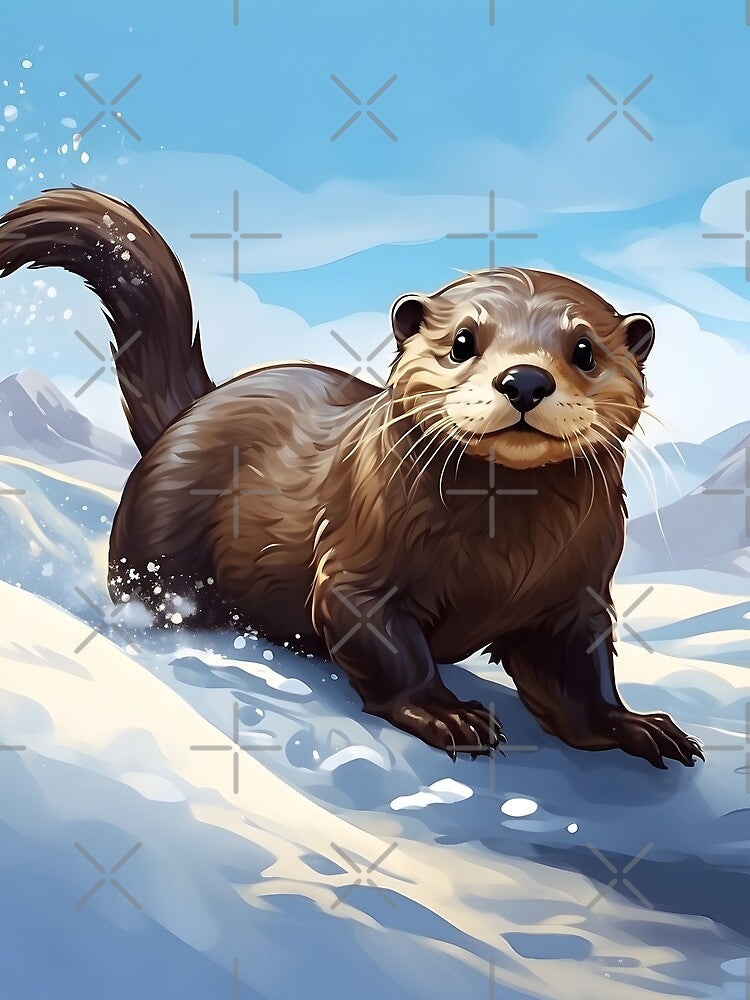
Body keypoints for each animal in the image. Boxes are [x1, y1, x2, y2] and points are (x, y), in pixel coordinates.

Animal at [0, 188, 703, 769]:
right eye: (463, 341)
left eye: (585, 350)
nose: (525, 379)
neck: (503, 558)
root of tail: (190, 409)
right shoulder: (356, 568)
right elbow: (386, 645)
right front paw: (445, 713)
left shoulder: (575, 594)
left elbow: (578, 678)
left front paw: (636, 725)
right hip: (155, 537)